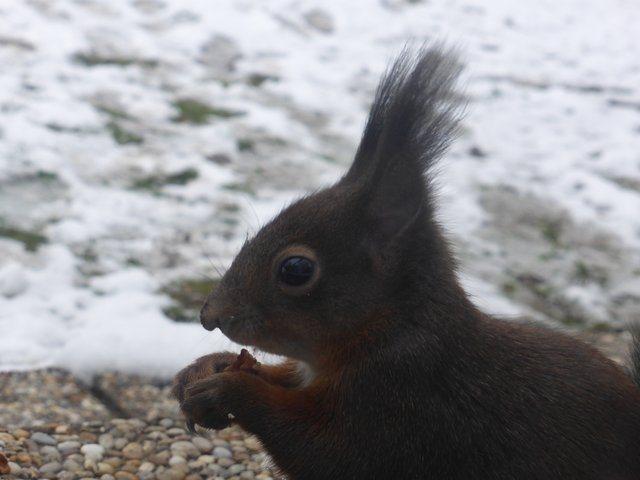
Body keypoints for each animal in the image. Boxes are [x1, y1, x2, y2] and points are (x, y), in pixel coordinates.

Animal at [172, 47, 640, 480]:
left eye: (296, 270)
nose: (209, 316)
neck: (388, 327)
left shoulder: (399, 400)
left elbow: (327, 452)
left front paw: (229, 390)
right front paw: (208, 366)